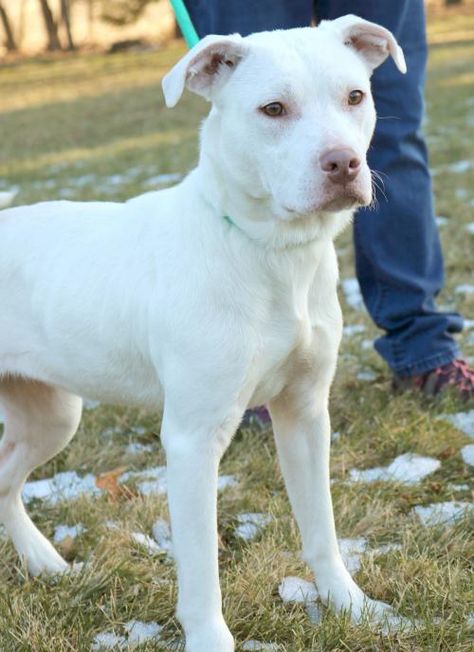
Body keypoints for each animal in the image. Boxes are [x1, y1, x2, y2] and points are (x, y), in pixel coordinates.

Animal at [1, 15, 406, 652]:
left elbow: (321, 524)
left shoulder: (305, 414)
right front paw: (210, 638)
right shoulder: (193, 439)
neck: (269, 250)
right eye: (272, 109)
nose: (342, 164)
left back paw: (43, 561)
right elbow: (200, 569)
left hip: (51, 416)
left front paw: (352, 606)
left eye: (355, 97)